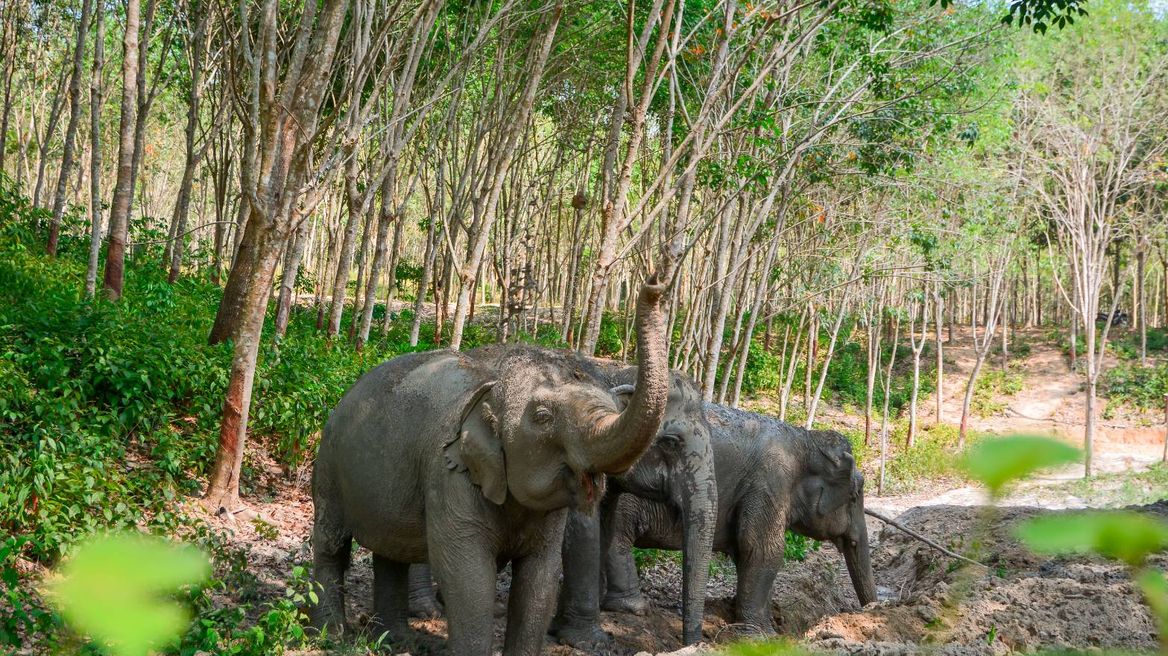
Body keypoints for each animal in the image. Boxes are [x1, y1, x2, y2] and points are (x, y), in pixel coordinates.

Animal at [310, 275, 672, 656]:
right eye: (542, 417)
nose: (655, 284)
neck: (490, 385)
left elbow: (541, 575)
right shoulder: (448, 475)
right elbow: (467, 574)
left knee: (390, 552)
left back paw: (397, 640)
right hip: (329, 465)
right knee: (332, 544)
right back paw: (331, 634)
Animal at [554, 402, 878, 639]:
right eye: (854, 496)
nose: (870, 611)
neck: (804, 440)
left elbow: (746, 552)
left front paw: (767, 630)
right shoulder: (770, 481)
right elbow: (762, 549)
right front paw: (757, 636)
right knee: (618, 538)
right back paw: (633, 609)